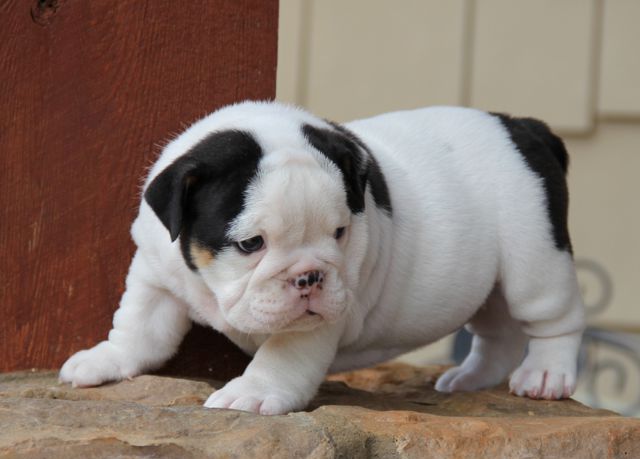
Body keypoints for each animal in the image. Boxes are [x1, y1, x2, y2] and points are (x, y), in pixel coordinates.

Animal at [60, 101, 584, 416]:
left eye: (339, 233)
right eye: (251, 244)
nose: (311, 275)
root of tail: (523, 127)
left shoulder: (310, 325)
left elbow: (282, 357)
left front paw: (252, 392)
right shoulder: (155, 275)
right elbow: (139, 327)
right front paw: (105, 359)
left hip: (534, 259)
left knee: (554, 320)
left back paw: (545, 376)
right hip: (490, 284)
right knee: (498, 332)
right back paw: (472, 378)